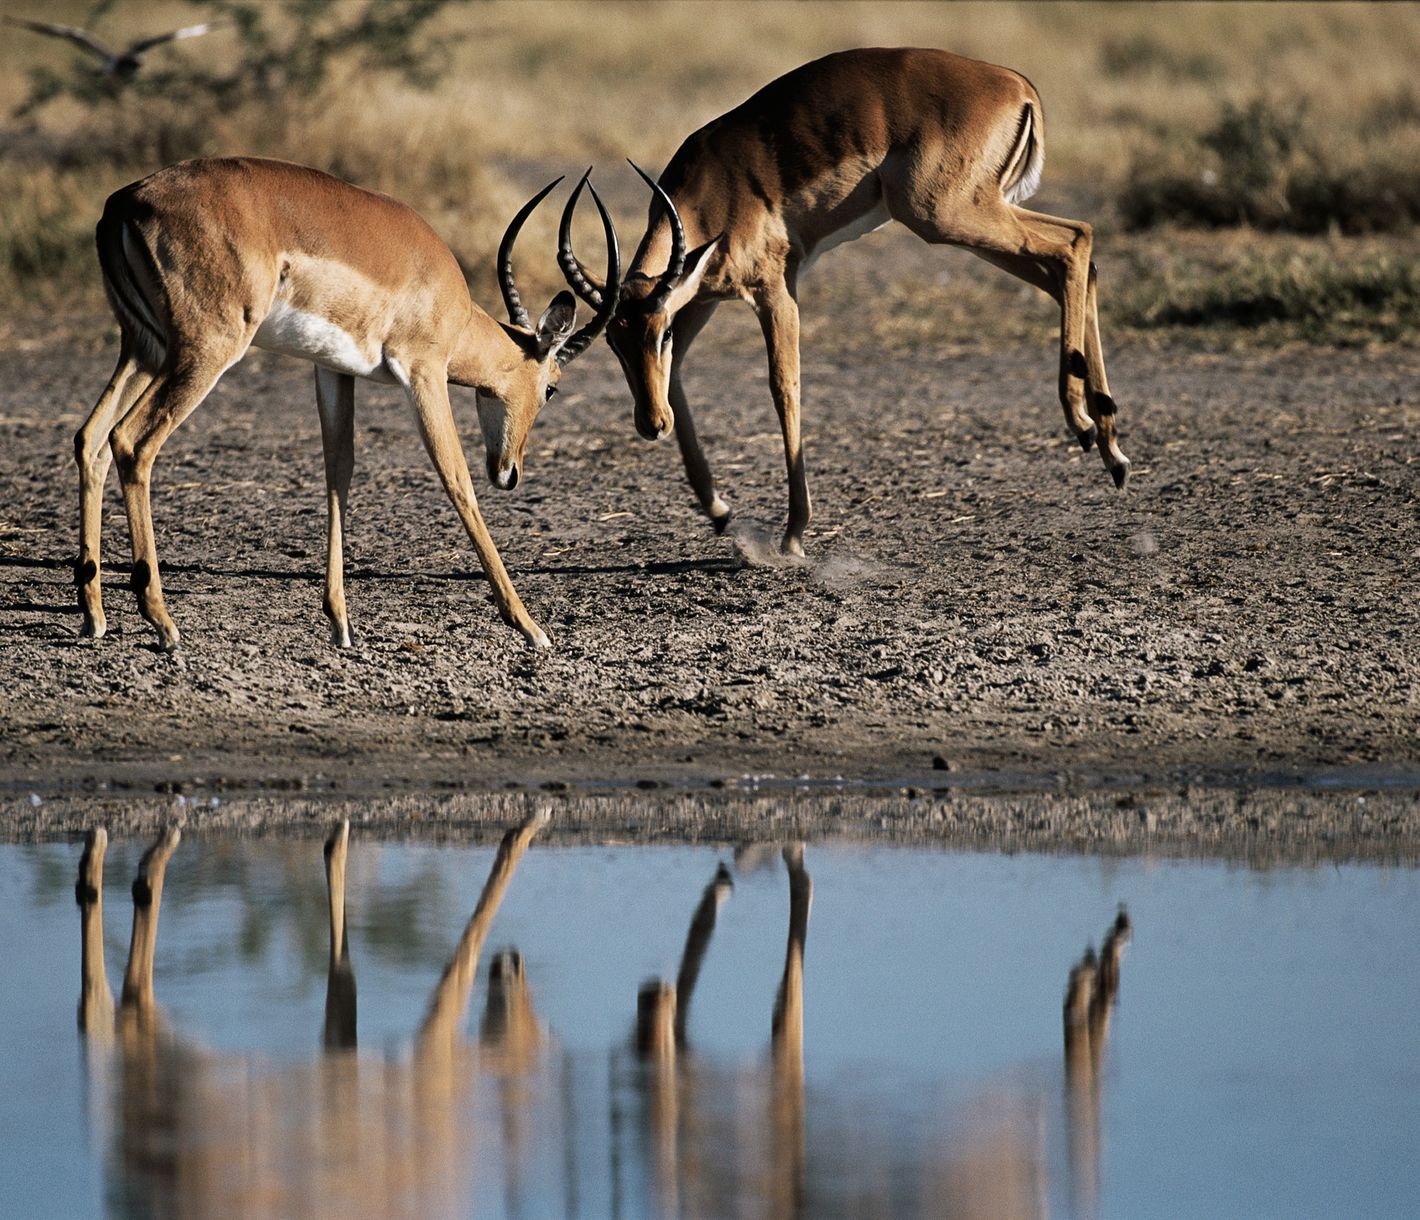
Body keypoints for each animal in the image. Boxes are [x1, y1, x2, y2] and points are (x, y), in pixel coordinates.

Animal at [74, 156, 620, 651]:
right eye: (551, 387)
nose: (510, 473)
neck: (449, 300)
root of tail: (124, 203)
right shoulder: (424, 374)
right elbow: (457, 480)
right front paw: (530, 627)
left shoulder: (333, 370)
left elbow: (338, 472)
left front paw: (339, 622)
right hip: (205, 349)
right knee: (131, 442)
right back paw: (161, 621)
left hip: (145, 348)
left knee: (91, 439)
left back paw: (93, 614)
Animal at [565, 47, 1130, 556]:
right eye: (613, 343)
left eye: (655, 331)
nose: (650, 424)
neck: (712, 191)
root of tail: (1016, 83)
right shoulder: (702, 297)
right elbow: (678, 373)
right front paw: (720, 511)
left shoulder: (775, 289)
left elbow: (784, 385)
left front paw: (793, 534)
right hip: (967, 217)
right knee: (1075, 258)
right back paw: (1110, 446)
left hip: (946, 216)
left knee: (1073, 242)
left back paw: (1083, 424)